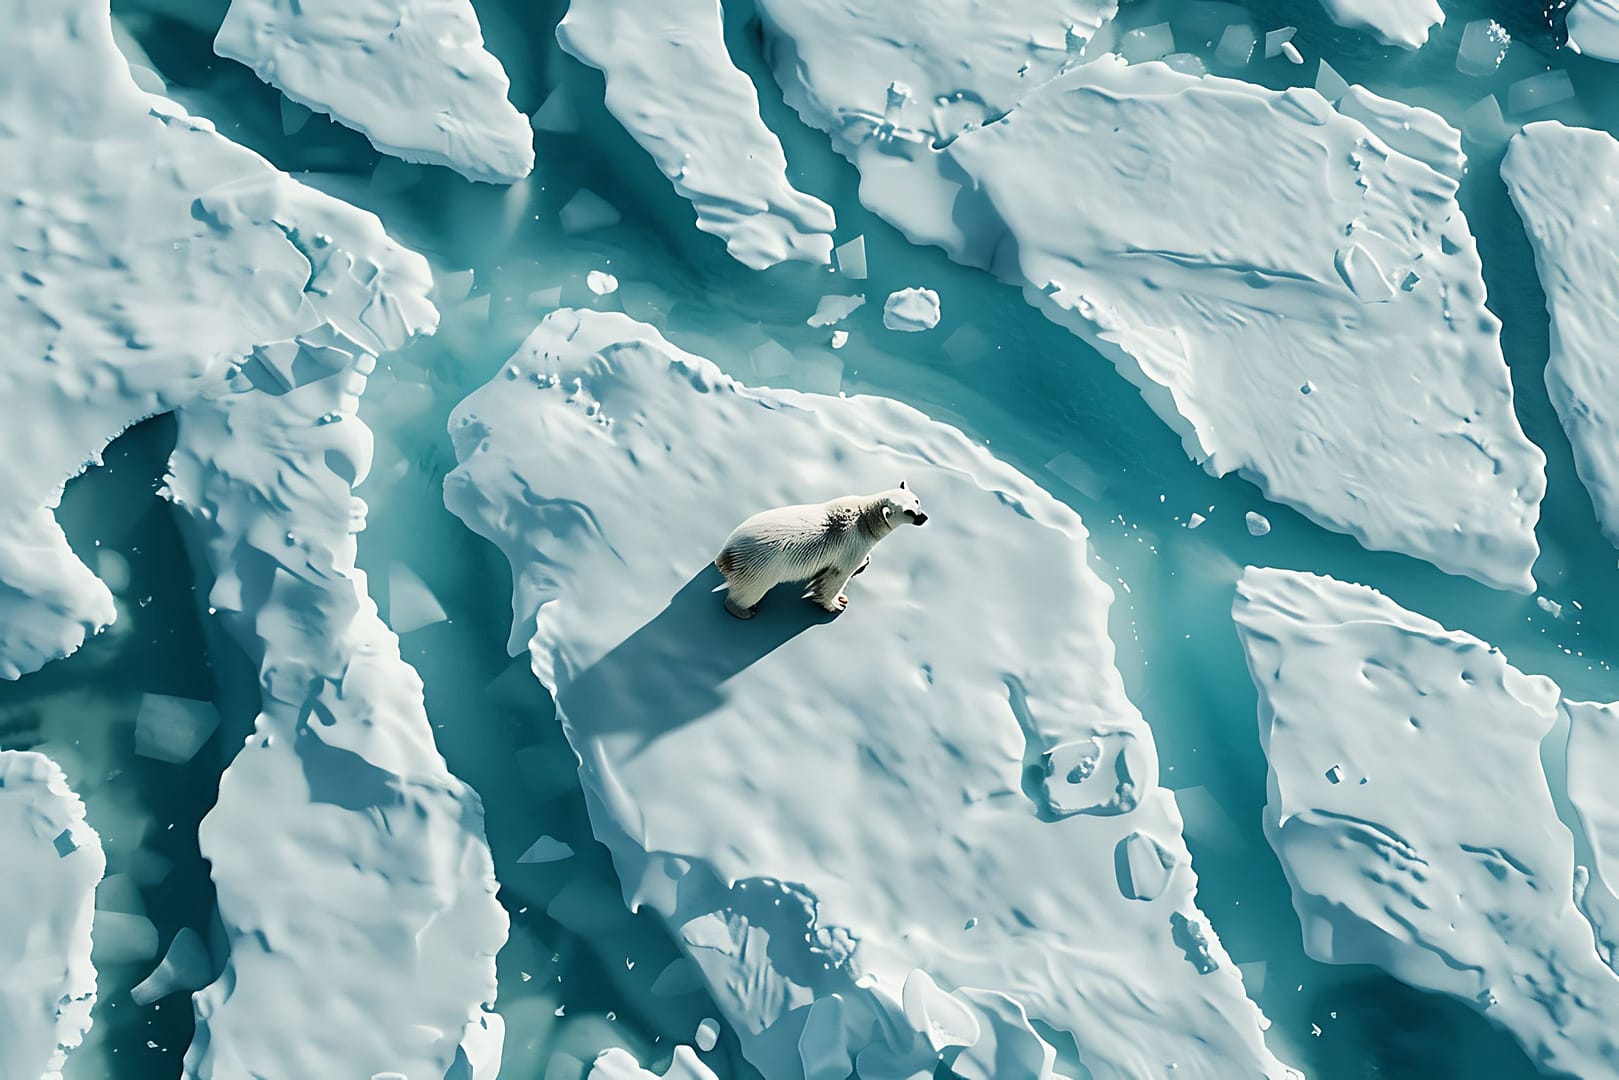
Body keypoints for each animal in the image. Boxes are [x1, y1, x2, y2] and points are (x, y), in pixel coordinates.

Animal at [714, 482, 928, 619]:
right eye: (908, 512)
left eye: (916, 501)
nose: (923, 517)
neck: (865, 519)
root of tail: (726, 556)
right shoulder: (852, 545)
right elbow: (837, 576)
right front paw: (837, 603)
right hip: (760, 569)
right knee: (749, 592)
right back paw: (744, 610)